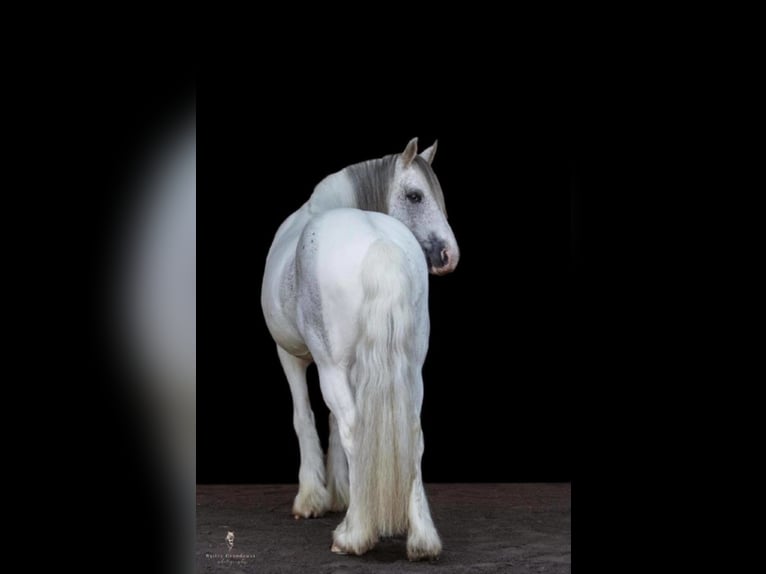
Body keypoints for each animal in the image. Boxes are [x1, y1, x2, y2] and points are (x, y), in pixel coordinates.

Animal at [260, 138, 460, 564]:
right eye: (416, 195)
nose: (449, 255)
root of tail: (380, 244)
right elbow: (330, 424)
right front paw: (342, 492)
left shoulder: (292, 356)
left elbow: (306, 419)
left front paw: (313, 499)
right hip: (410, 369)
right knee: (413, 435)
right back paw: (421, 539)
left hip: (331, 368)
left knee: (353, 428)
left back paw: (353, 535)